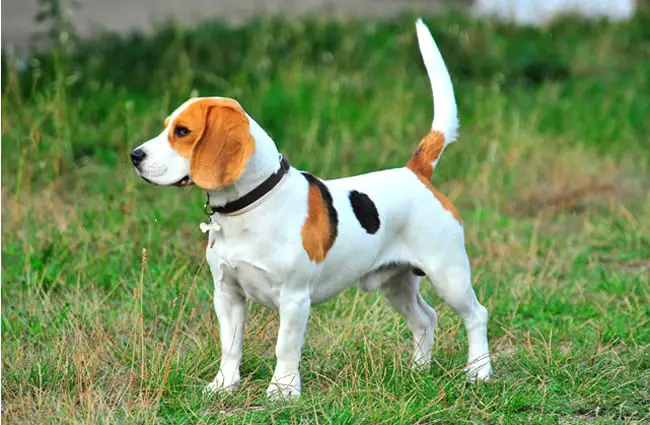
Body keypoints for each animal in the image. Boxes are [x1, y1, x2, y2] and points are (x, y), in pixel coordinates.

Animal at [130, 19, 492, 398]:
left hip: (448, 274)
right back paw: (418, 371)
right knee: (426, 319)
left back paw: (478, 372)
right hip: (395, 283)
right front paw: (224, 385)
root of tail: (415, 171)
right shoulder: (227, 293)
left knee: (476, 315)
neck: (250, 207)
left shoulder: (294, 298)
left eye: (183, 131)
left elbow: (285, 346)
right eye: (167, 127)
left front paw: (283, 390)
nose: (134, 156)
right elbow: (230, 345)